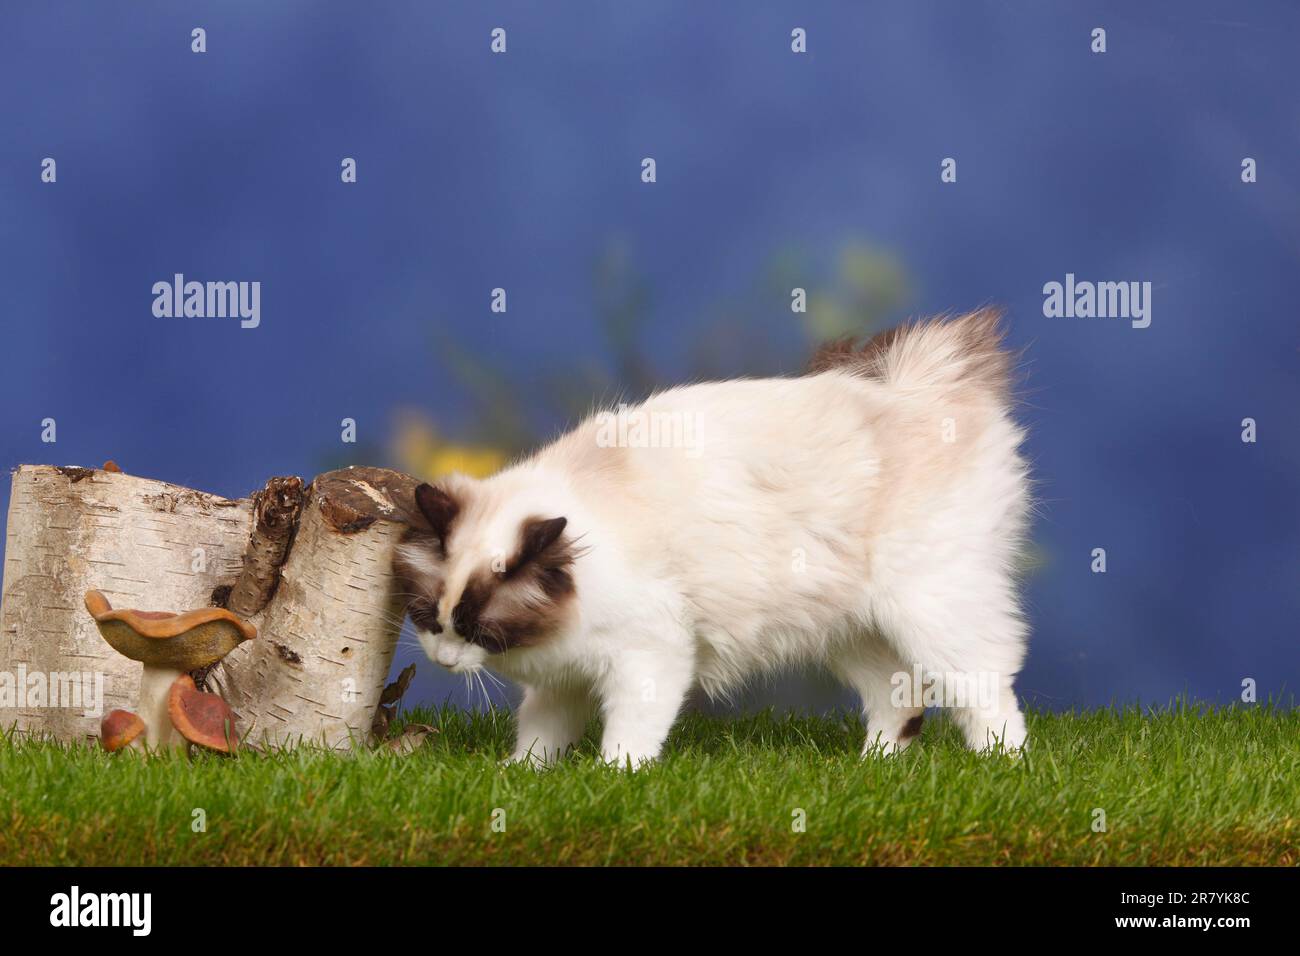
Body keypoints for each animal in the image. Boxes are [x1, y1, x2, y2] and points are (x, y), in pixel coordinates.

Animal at [390, 310, 1029, 764]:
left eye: (477, 629)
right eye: (428, 619)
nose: (443, 659)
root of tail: (919, 386)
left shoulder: (650, 656)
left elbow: (626, 740)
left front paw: (613, 780)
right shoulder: (564, 679)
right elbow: (540, 736)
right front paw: (520, 777)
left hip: (928, 609)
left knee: (989, 695)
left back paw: (1002, 767)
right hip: (851, 627)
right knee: (899, 696)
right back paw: (870, 771)